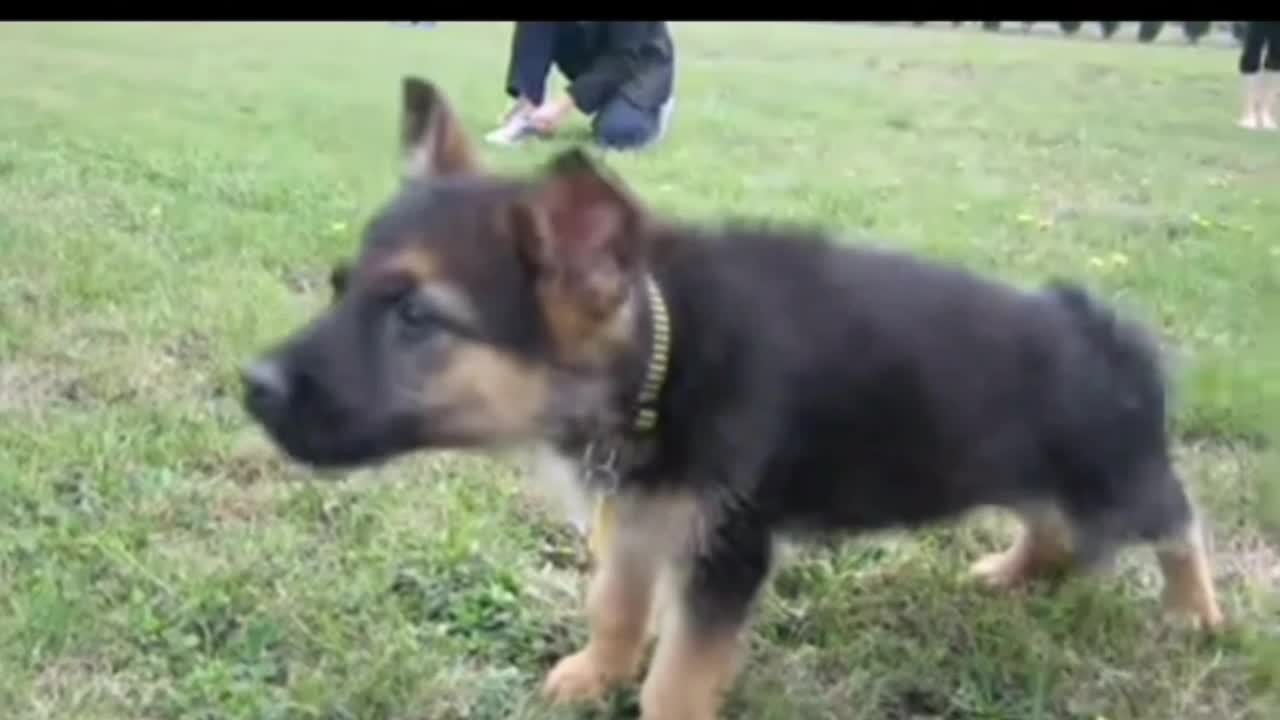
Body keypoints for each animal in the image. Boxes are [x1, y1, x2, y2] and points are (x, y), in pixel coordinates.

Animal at [244, 77, 1223, 717]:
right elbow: (618, 606)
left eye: (417, 317)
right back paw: (1015, 572)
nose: (252, 388)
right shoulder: (639, 518)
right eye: (340, 288)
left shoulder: (725, 551)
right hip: (1019, 468)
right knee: (1052, 529)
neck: (657, 357)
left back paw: (1194, 613)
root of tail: (1098, 326)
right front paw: (595, 673)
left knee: (1178, 522)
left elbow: (678, 674)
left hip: (1112, 479)